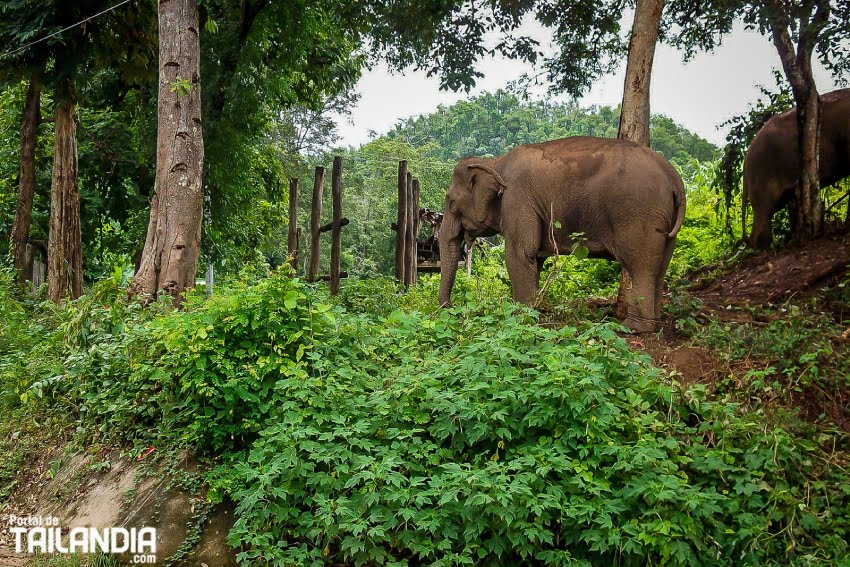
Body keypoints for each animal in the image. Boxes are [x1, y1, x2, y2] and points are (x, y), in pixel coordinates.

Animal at [438, 137, 684, 332]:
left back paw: (633, 328)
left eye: (451, 204)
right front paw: (536, 311)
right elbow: (534, 259)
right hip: (665, 222)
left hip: (639, 215)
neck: (496, 162)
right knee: (659, 268)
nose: (452, 308)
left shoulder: (518, 199)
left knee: (641, 267)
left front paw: (520, 319)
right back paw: (654, 324)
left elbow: (520, 254)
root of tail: (675, 180)